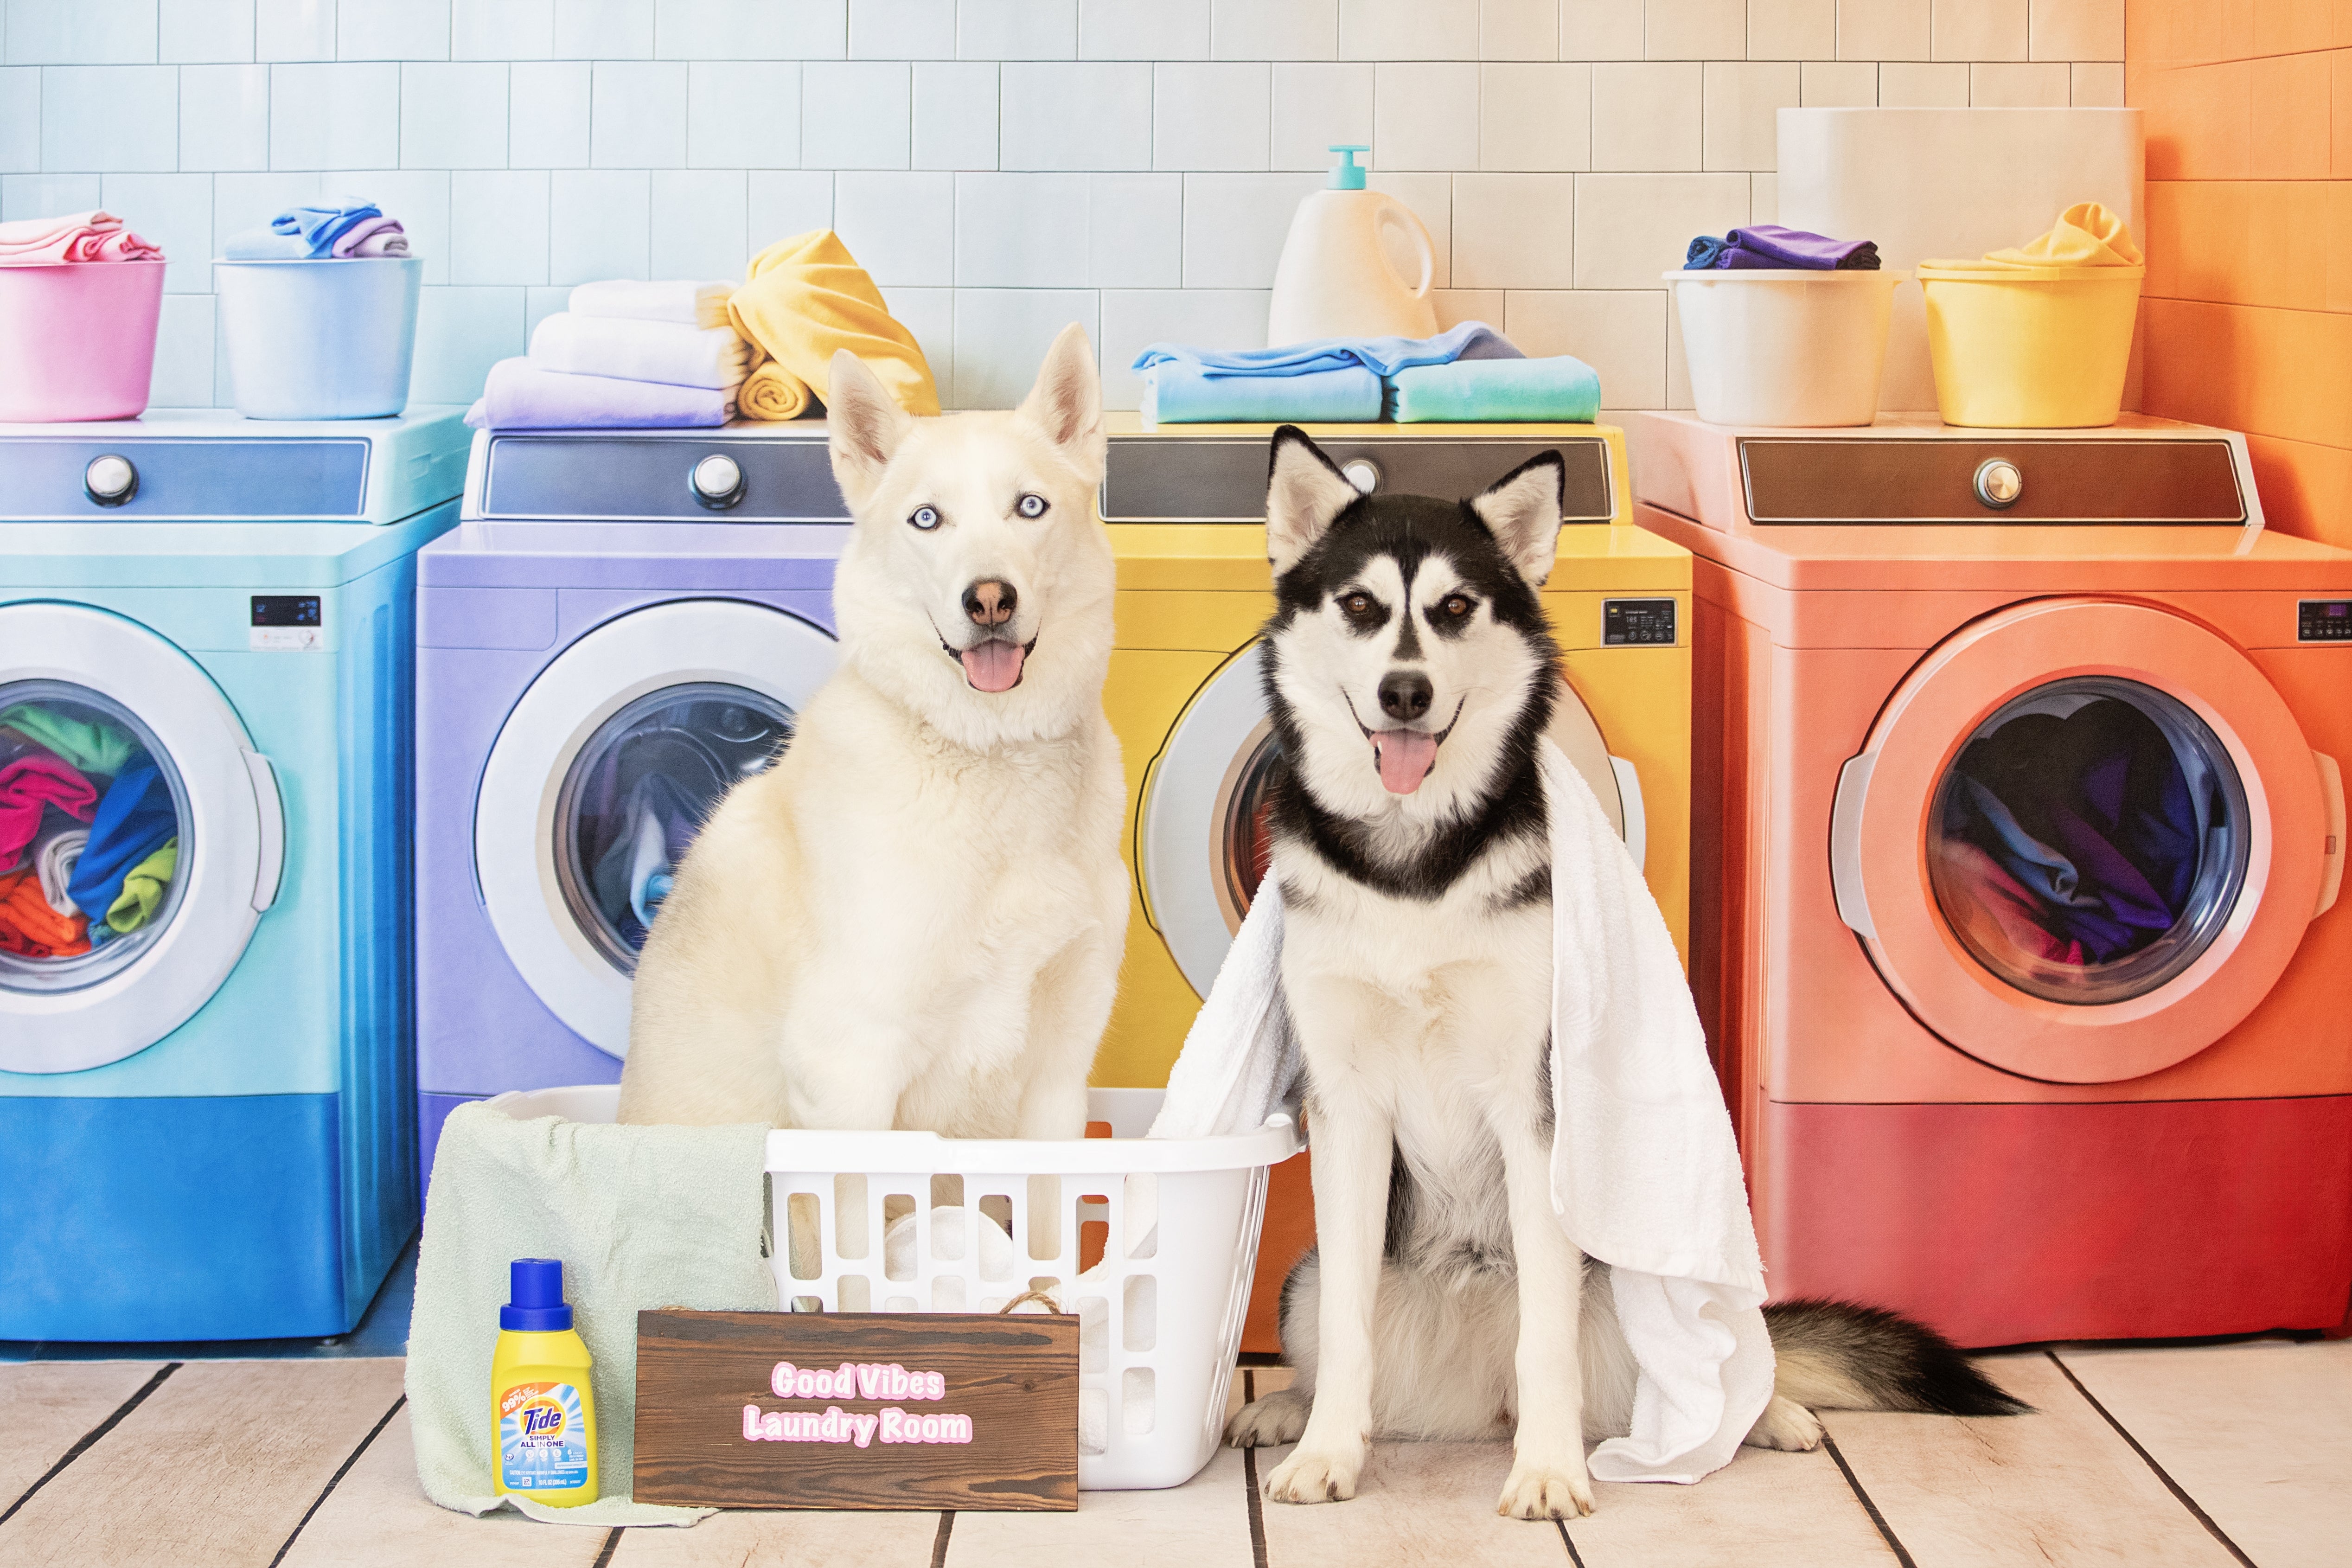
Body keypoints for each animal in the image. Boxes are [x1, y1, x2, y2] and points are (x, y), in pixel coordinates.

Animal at [616, 329, 1129, 1142]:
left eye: (1030, 507)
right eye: (927, 519)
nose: (989, 600)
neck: (990, 753)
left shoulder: (1059, 1078)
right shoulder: (850, 1061)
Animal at [1232, 430, 2022, 1523]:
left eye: (1454, 608)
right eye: (1359, 605)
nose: (1405, 692)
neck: (1414, 864)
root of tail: (1474, 1392)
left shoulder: (1534, 1109)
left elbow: (1550, 1341)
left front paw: (1548, 1470)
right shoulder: (1347, 1112)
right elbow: (1349, 1331)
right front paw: (1325, 1454)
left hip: (1652, 1286)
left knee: (1718, 1364)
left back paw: (1764, 1414)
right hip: (1300, 1282)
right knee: (1333, 1335)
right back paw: (1287, 1411)